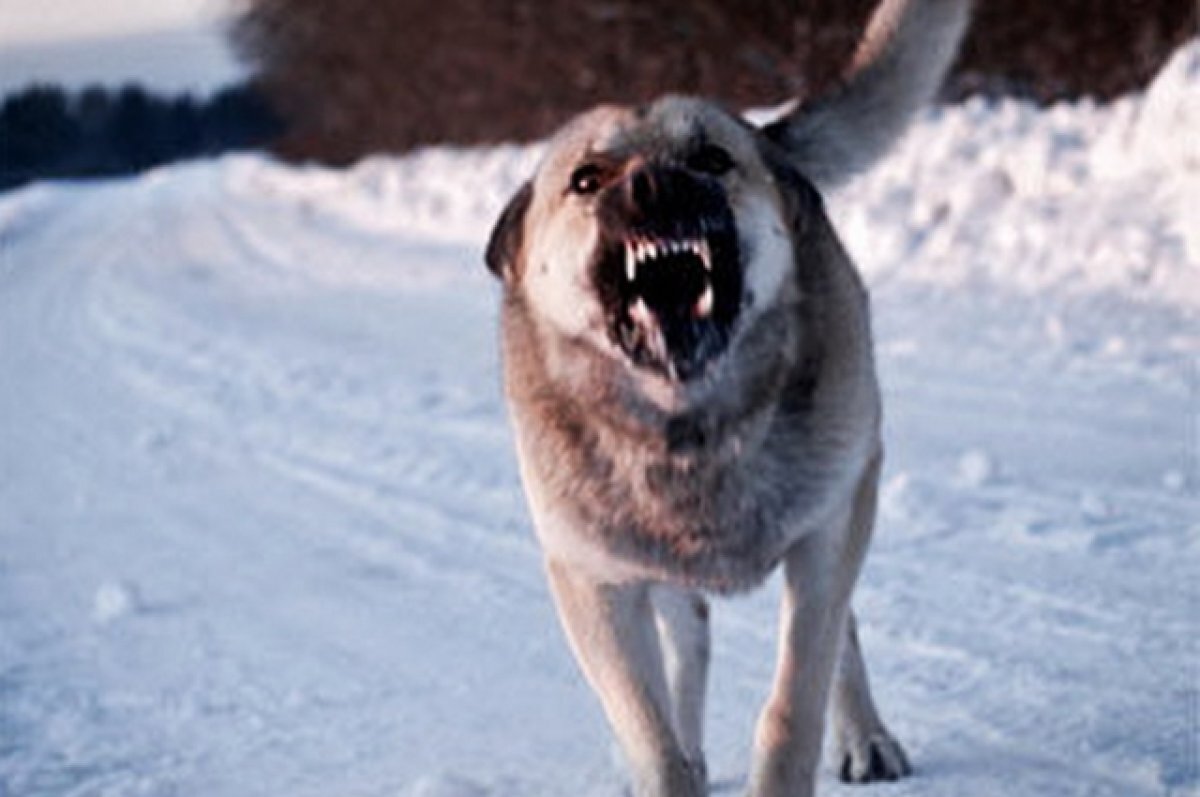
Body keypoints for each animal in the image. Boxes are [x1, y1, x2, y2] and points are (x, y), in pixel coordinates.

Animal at [482, 3, 969, 792]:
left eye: (710, 159)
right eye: (587, 178)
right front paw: (670, 764)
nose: (652, 184)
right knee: (691, 646)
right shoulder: (594, 582)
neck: (691, 423)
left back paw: (865, 736)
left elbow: (793, 703)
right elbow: (651, 733)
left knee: (841, 633)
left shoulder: (825, 534)